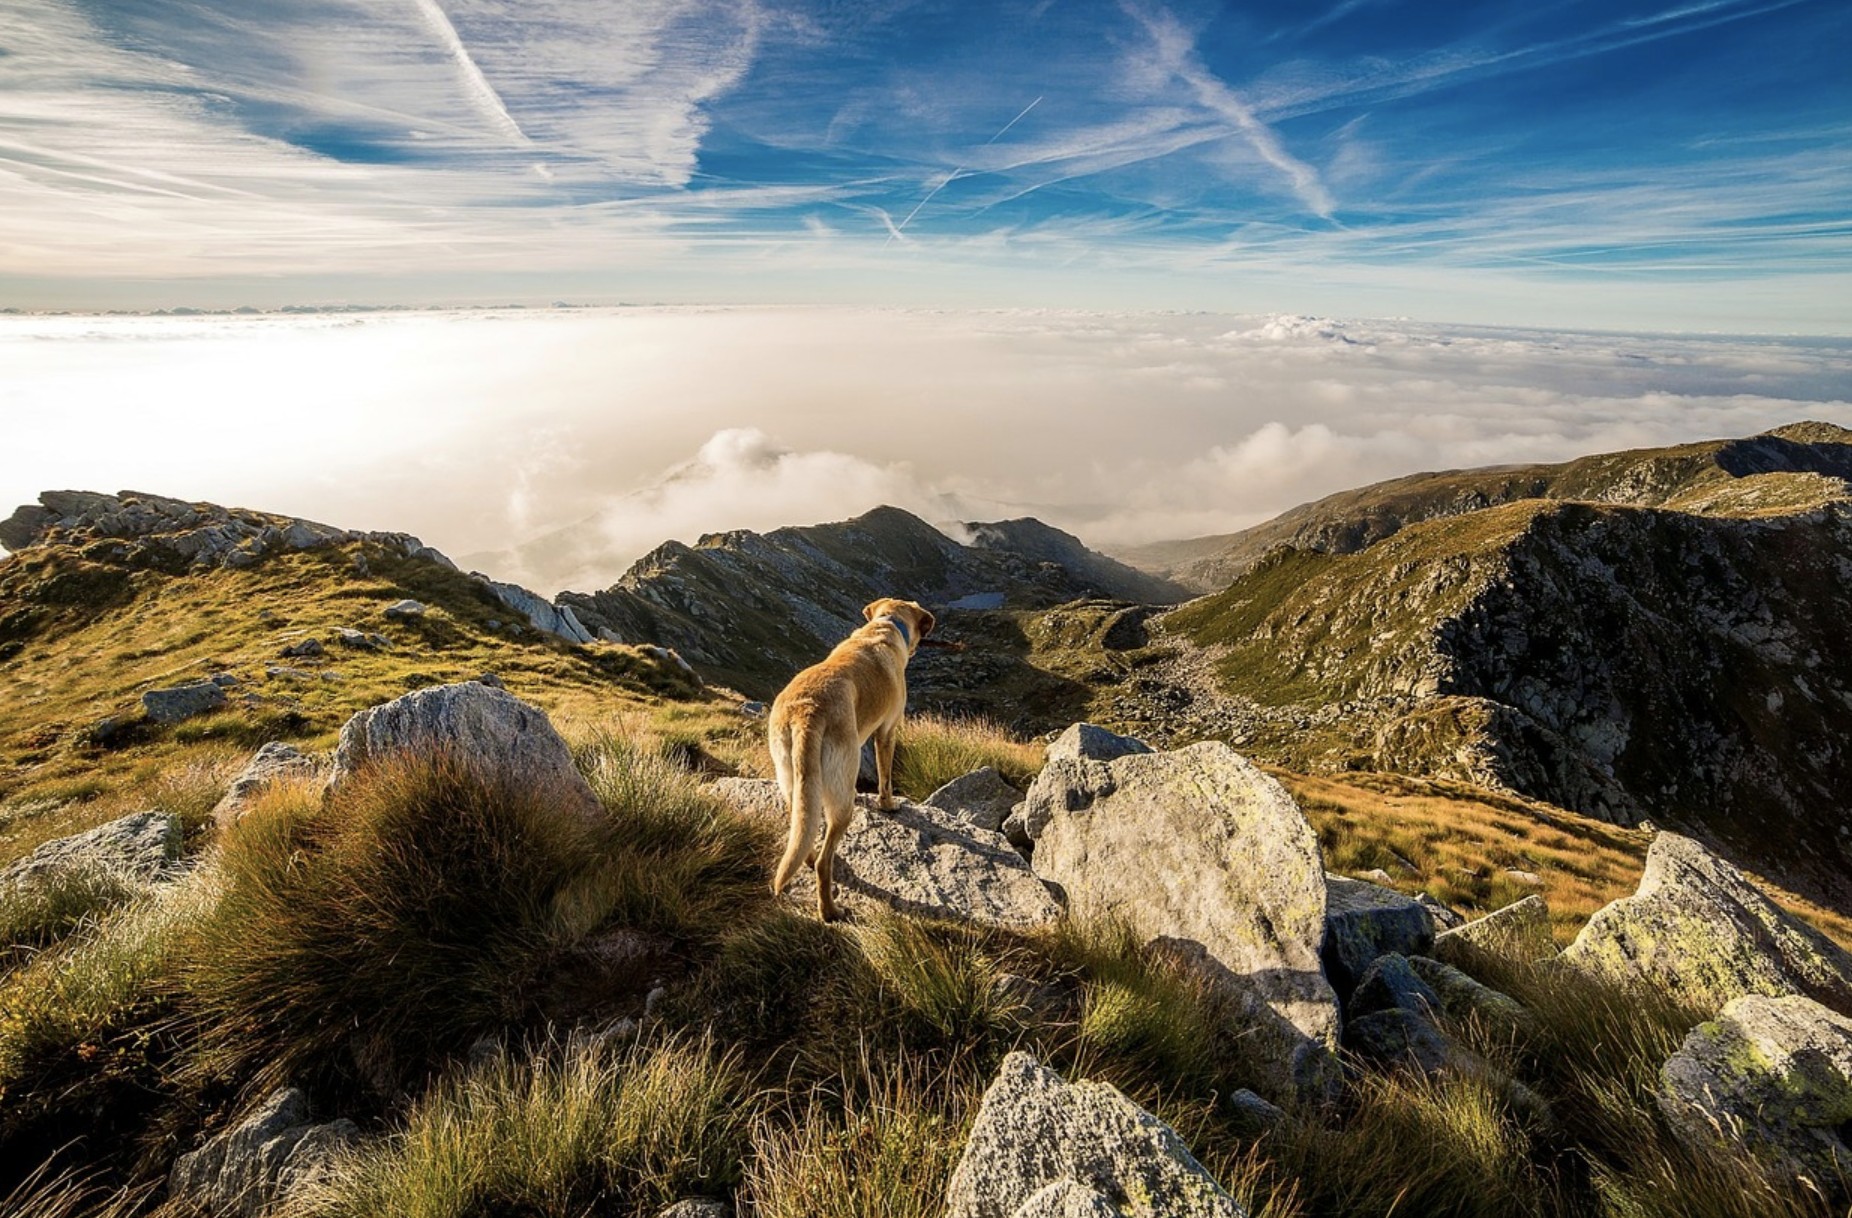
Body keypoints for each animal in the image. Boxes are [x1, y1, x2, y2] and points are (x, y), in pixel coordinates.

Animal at [770, 592, 933, 914]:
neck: (884, 625)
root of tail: (807, 713)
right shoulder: (887, 732)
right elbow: (885, 777)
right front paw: (888, 805)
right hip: (843, 796)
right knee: (824, 861)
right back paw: (830, 911)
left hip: (793, 780)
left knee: (803, 833)